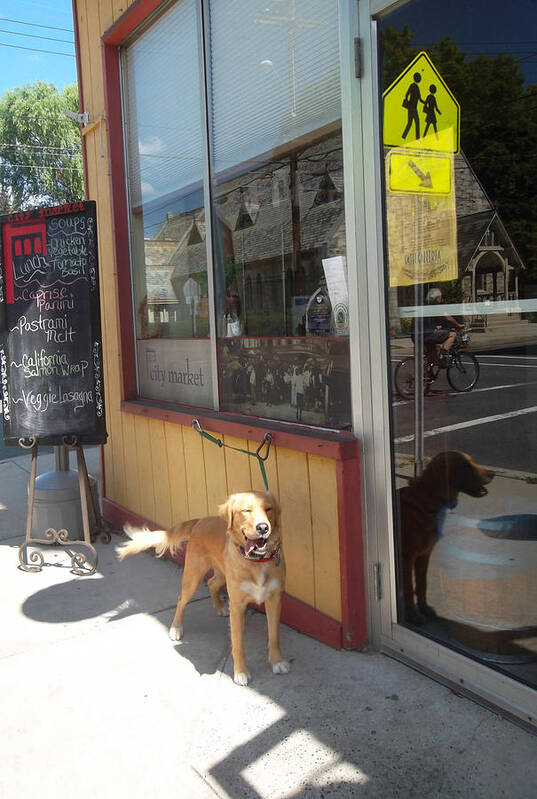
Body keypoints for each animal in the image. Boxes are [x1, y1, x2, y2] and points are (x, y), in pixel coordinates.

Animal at [118, 490, 288, 684]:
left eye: (269, 509)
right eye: (246, 510)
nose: (263, 528)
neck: (257, 562)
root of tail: (200, 520)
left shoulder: (275, 599)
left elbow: (274, 636)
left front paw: (277, 661)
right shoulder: (237, 605)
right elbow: (237, 643)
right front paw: (241, 671)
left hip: (221, 574)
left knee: (211, 583)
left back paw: (219, 607)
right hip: (193, 576)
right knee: (181, 599)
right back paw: (176, 628)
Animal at [396, 450, 492, 624]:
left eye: (472, 461)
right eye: (465, 465)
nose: (492, 473)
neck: (426, 503)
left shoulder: (424, 554)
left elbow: (422, 584)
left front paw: (424, 607)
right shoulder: (406, 558)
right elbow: (408, 589)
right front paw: (413, 615)